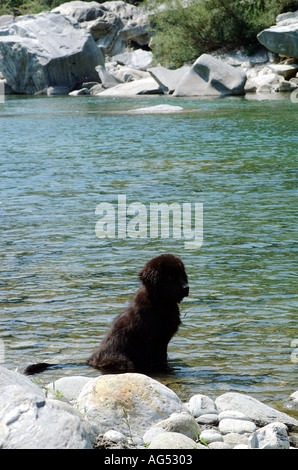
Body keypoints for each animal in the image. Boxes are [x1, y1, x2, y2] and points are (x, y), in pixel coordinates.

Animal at [25, 253, 189, 374]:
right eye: (170, 277)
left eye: (182, 275)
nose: (186, 288)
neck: (160, 303)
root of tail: (90, 362)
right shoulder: (156, 342)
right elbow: (160, 360)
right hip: (124, 362)